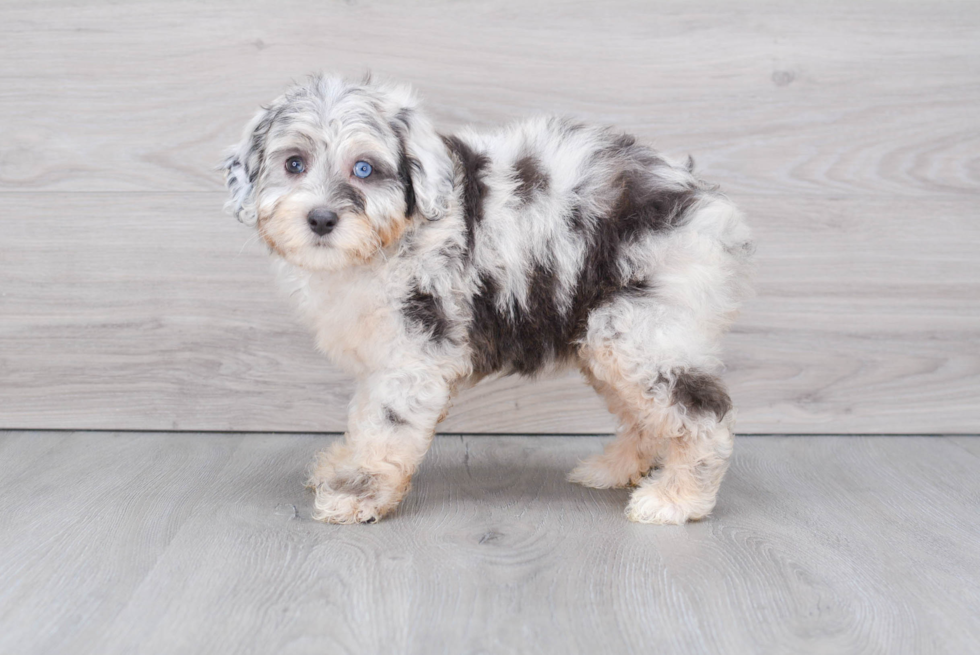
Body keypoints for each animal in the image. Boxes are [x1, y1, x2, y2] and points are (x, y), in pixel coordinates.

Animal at [226, 74, 756, 524]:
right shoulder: (381, 355)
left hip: (640, 330)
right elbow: (363, 418)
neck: (390, 241)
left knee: (701, 413)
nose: (320, 219)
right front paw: (341, 466)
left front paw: (357, 494)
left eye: (364, 169)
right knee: (646, 417)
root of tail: (705, 205)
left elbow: (385, 426)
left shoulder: (414, 353)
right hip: (607, 337)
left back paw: (676, 500)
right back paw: (612, 470)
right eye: (294, 164)